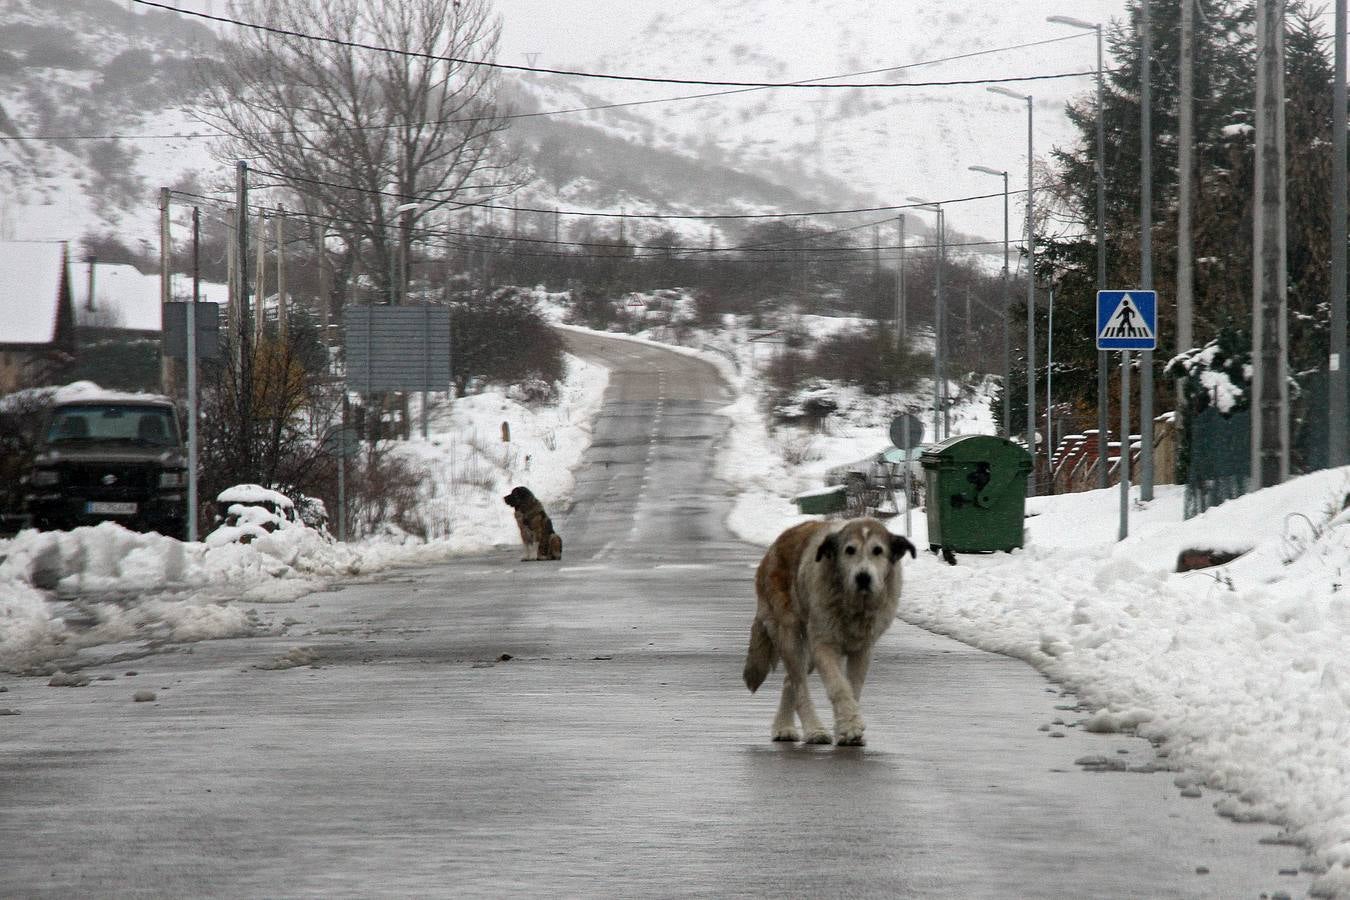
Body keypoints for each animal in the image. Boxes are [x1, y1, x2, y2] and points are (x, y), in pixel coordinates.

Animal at [739, 518, 918, 750]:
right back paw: (813, 730)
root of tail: (774, 547)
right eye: (849, 550)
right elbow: (839, 686)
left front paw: (845, 728)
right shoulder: (824, 646)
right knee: (799, 685)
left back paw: (783, 727)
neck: (853, 605)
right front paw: (850, 726)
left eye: (878, 550)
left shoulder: (862, 650)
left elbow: (853, 687)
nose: (863, 577)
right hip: (790, 634)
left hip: (808, 652)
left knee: (789, 681)